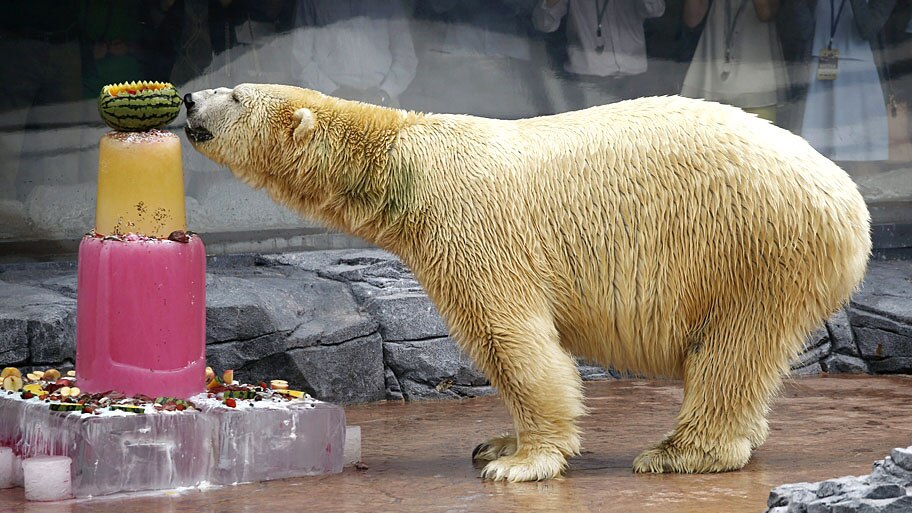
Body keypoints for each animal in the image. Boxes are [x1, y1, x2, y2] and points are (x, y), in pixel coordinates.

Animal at [184, 84, 871, 482]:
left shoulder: (470, 225)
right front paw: (495, 443)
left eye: (237, 95)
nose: (189, 98)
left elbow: (512, 336)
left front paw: (520, 462)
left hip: (753, 247)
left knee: (730, 351)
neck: (401, 156)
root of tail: (849, 200)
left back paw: (678, 452)